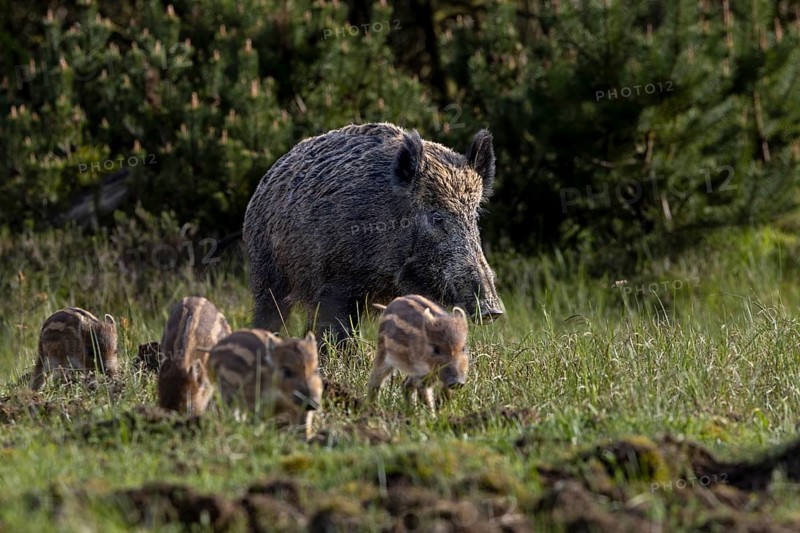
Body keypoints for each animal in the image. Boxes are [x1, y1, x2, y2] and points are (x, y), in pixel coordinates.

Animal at [243, 122, 504, 345]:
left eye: (474, 217)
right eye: (436, 217)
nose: (492, 309)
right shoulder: (336, 284)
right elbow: (338, 333)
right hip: (267, 273)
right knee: (270, 314)